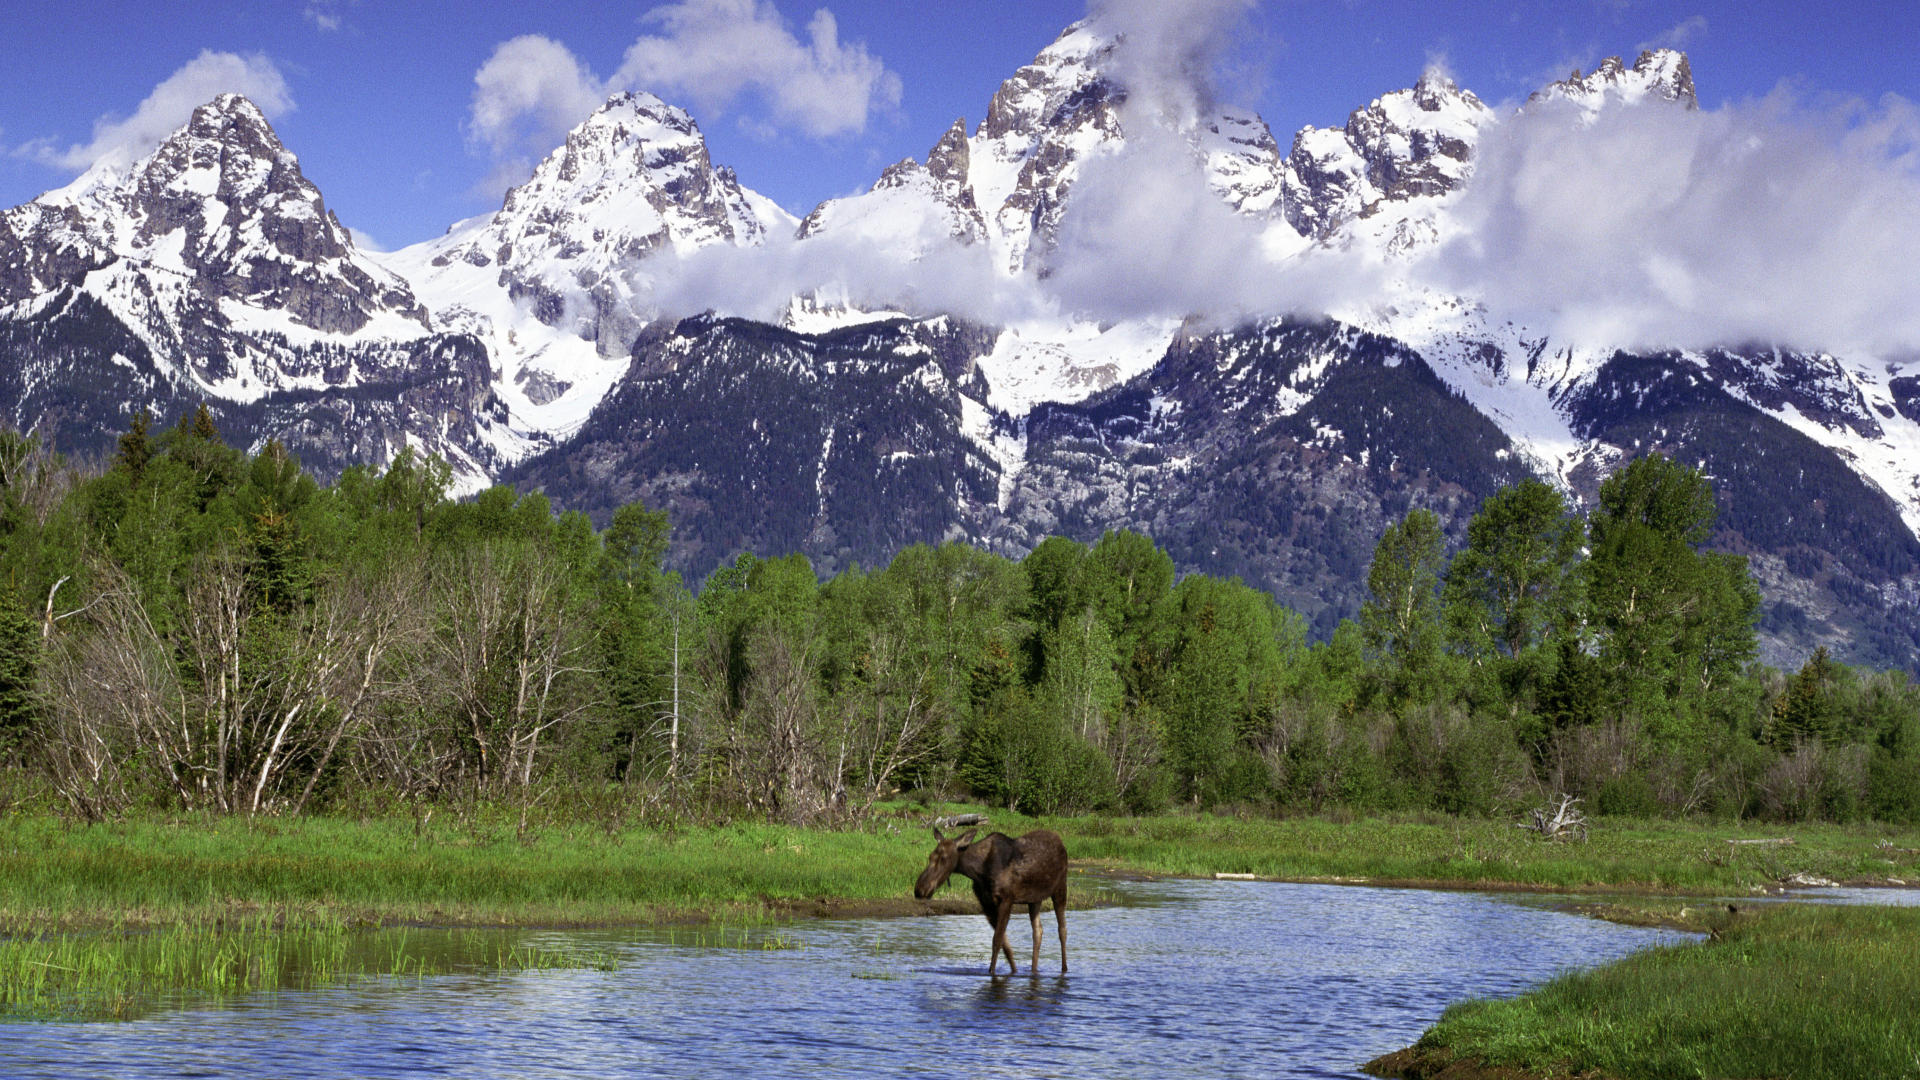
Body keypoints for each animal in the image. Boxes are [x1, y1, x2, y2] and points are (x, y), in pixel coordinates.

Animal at [913, 826, 1068, 975]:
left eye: (944, 858)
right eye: (931, 856)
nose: (920, 889)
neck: (978, 871)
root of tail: (1061, 842)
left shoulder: (1006, 899)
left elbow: (997, 940)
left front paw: (992, 972)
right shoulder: (986, 904)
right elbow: (1005, 945)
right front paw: (1014, 970)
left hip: (1060, 888)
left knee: (1062, 930)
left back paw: (1064, 969)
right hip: (1035, 899)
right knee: (1038, 931)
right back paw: (1034, 970)